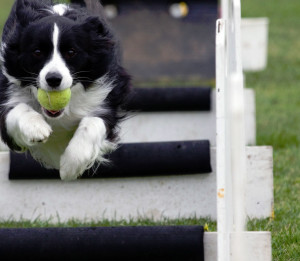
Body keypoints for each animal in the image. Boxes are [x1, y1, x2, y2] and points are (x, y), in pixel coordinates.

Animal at [0, 0, 131, 179]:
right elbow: (18, 108)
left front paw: (71, 165)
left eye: (71, 52)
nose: (53, 79)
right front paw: (36, 129)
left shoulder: (107, 95)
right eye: (37, 52)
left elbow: (93, 121)